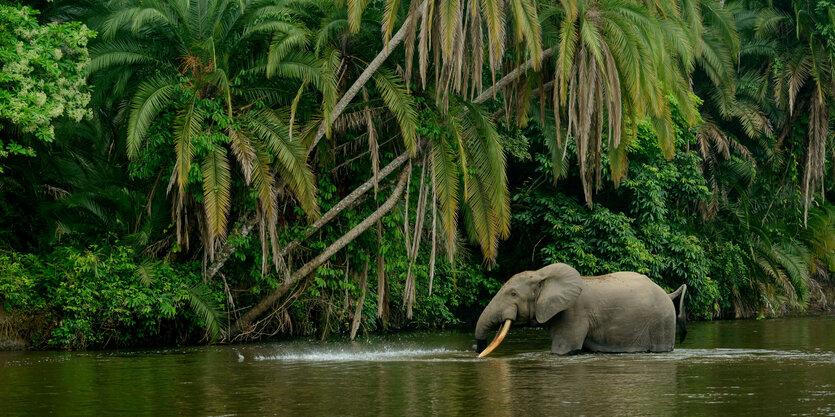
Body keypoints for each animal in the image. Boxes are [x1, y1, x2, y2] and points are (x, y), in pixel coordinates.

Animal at [476, 264, 684, 354]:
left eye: (512, 294)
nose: (476, 349)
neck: (542, 274)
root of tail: (668, 294)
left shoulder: (573, 313)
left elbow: (562, 350)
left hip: (663, 321)